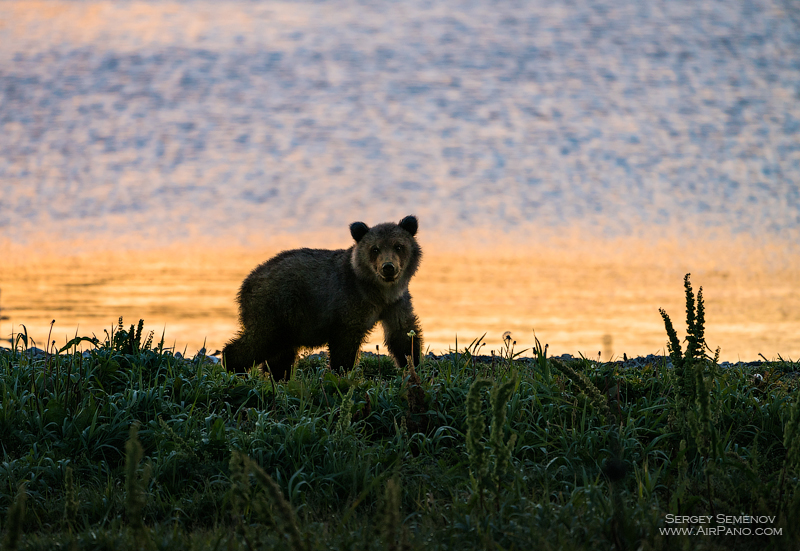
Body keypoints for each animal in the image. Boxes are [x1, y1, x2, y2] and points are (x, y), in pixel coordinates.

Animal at [223, 216, 424, 380]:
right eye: (375, 249)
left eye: (398, 246)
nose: (388, 267)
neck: (379, 291)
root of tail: (247, 282)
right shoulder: (350, 303)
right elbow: (344, 345)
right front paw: (341, 373)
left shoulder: (396, 303)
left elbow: (403, 334)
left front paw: (413, 364)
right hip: (275, 306)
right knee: (262, 340)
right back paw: (234, 367)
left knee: (280, 354)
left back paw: (279, 377)